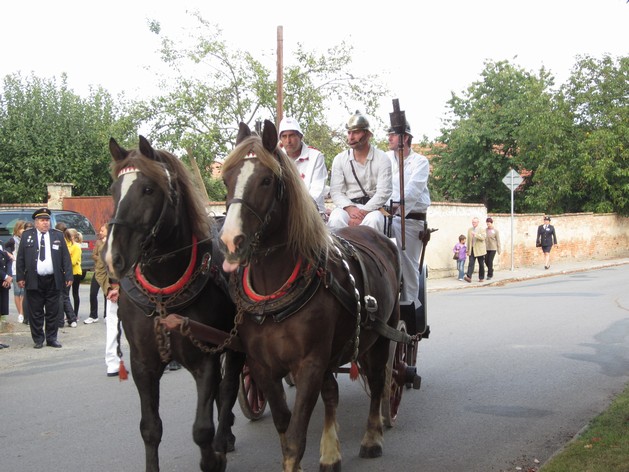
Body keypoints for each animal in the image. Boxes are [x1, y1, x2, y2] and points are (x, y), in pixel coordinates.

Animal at [103, 136, 245, 472]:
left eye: (148, 189)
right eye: (114, 189)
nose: (113, 258)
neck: (164, 294)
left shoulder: (205, 358)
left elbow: (202, 427)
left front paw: (213, 458)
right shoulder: (143, 364)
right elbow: (150, 428)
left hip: (235, 343)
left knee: (228, 386)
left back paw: (224, 437)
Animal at [218, 121, 400, 472]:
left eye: (266, 180)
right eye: (226, 178)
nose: (230, 241)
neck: (272, 293)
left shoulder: (310, 363)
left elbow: (296, 436)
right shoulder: (262, 366)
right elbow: (284, 424)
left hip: (383, 334)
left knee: (378, 380)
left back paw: (373, 437)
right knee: (332, 392)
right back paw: (331, 454)